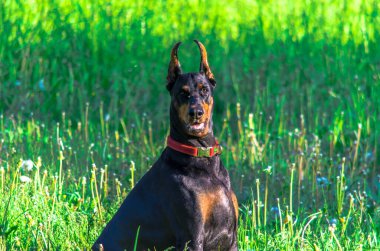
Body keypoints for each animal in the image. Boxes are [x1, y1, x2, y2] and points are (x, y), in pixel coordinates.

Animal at [93, 40, 238, 250]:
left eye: (204, 89)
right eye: (182, 93)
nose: (196, 113)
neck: (201, 157)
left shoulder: (231, 238)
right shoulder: (192, 237)